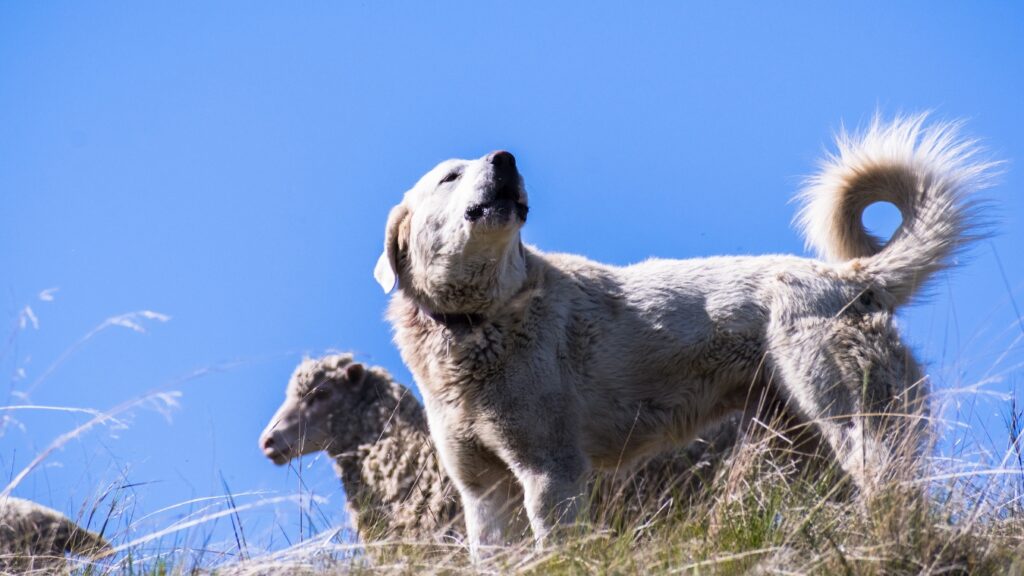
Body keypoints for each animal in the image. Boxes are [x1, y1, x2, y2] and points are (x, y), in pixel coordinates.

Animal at [372, 116, 995, 553]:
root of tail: (853, 277)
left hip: (855, 424)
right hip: (806, 445)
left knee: (894, 493)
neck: (481, 321)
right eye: (450, 176)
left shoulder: (552, 475)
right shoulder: (483, 493)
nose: (505, 159)